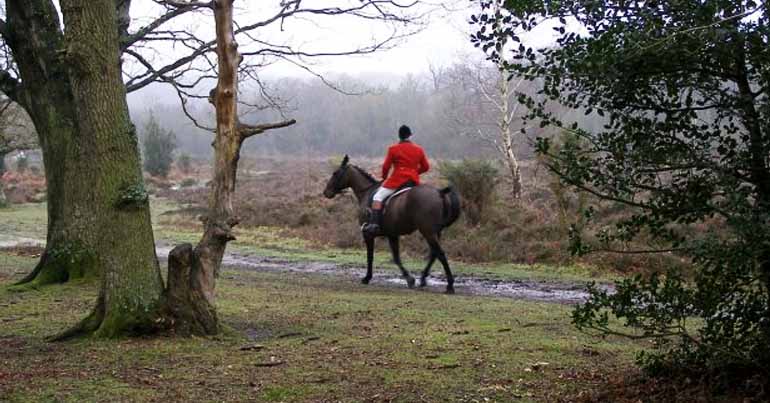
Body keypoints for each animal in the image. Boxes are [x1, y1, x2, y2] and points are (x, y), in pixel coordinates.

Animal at [320, 155, 460, 294]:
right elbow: (396, 257)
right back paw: (423, 279)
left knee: (440, 253)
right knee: (434, 254)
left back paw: (449, 285)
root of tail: (440, 192)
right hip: (435, 232)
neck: (366, 191)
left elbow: (370, 256)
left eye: (335, 173)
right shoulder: (392, 234)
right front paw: (410, 279)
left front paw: (367, 278)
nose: (326, 192)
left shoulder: (368, 234)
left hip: (428, 231)